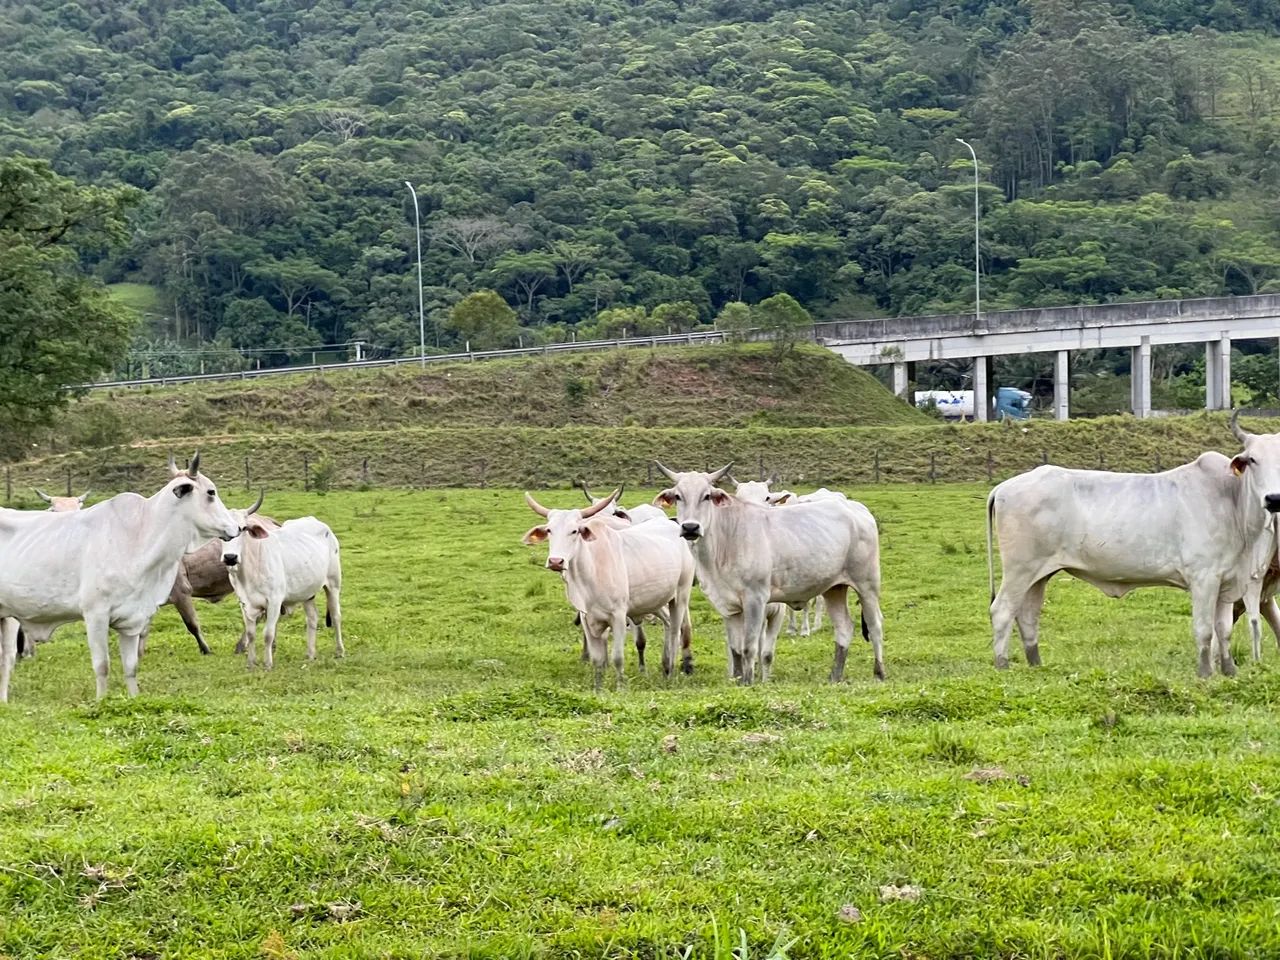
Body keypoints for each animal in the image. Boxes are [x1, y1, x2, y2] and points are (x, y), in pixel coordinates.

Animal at [0, 453, 241, 701]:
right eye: (211, 492)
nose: (237, 527)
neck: (139, 534)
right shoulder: (95, 615)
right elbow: (102, 665)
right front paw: (101, 701)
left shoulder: (132, 619)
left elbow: (131, 667)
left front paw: (133, 698)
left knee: (6, 660)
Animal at [219, 502, 344, 670]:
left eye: (243, 528)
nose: (230, 557)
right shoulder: (244, 603)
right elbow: (251, 634)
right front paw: (251, 663)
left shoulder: (274, 601)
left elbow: (268, 634)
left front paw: (268, 664)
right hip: (307, 592)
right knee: (312, 617)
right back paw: (310, 654)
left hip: (333, 583)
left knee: (336, 616)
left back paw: (340, 651)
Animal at [523, 489, 695, 689]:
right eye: (549, 530)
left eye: (575, 531)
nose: (556, 561)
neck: (591, 570)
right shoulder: (587, 619)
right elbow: (597, 659)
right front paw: (598, 688)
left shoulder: (619, 617)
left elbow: (617, 658)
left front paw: (621, 687)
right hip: (655, 599)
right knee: (667, 622)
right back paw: (665, 665)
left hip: (681, 595)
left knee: (676, 630)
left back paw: (672, 669)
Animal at [655, 462, 885, 684]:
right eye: (678, 496)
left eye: (707, 496)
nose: (690, 527)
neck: (725, 541)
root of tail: (856, 508)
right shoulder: (727, 606)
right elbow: (736, 651)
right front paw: (737, 680)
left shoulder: (755, 599)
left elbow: (750, 647)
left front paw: (748, 682)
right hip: (834, 589)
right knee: (844, 628)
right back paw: (835, 676)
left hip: (867, 585)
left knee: (875, 625)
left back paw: (879, 673)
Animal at [985, 411, 1280, 678]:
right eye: (1253, 459)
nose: (1273, 498)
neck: (1232, 503)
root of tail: (1003, 487)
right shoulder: (1203, 578)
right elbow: (1205, 630)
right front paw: (1206, 674)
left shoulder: (1228, 582)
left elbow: (1224, 630)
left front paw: (1229, 672)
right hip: (1019, 569)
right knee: (1002, 610)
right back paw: (1002, 666)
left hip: (1039, 574)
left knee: (1027, 615)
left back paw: (1037, 666)